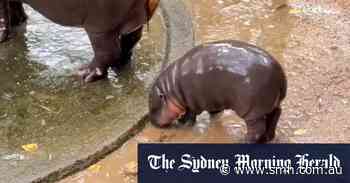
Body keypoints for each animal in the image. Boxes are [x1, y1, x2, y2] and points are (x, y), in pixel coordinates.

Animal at [0, 0, 159, 82]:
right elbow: (12, 6)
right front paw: (18, 21)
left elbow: (2, 13)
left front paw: (2, 37)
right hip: (133, 17)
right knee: (130, 40)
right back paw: (119, 65)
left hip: (99, 25)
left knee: (107, 52)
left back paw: (84, 75)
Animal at [148, 39, 288, 143]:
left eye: (153, 107)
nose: (152, 123)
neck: (171, 89)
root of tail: (279, 75)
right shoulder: (212, 99)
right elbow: (213, 109)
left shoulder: (190, 103)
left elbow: (189, 115)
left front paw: (182, 124)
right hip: (271, 105)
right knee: (275, 115)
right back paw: (268, 138)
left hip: (252, 112)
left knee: (257, 130)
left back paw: (243, 141)